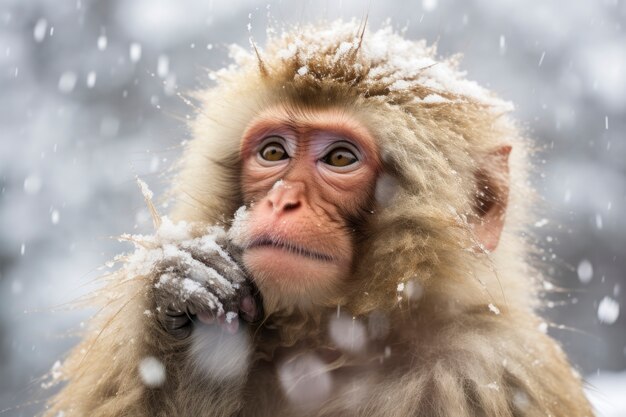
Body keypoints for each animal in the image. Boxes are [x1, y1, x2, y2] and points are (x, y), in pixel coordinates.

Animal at [42, 20, 588, 416]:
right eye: (273, 152)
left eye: (341, 159)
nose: (284, 200)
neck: (333, 341)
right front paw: (183, 300)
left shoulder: (493, 369)